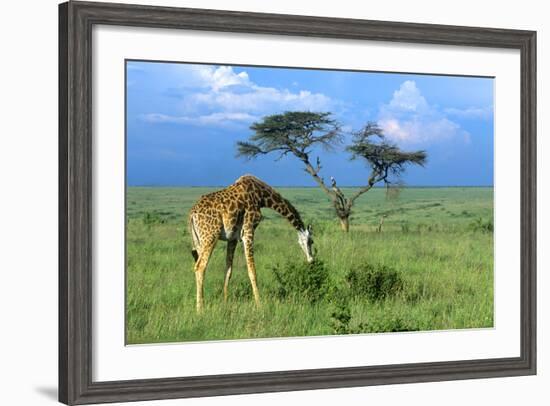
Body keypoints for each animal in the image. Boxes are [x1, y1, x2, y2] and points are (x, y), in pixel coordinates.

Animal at [188, 174, 314, 310]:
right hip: (210, 237)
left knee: (199, 266)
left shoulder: (232, 237)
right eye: (311, 241)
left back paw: (201, 303)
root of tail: (192, 215)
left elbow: (228, 270)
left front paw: (225, 301)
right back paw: (200, 309)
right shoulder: (248, 230)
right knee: (200, 267)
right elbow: (252, 270)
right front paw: (259, 304)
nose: (311, 260)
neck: (262, 196)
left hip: (200, 241)